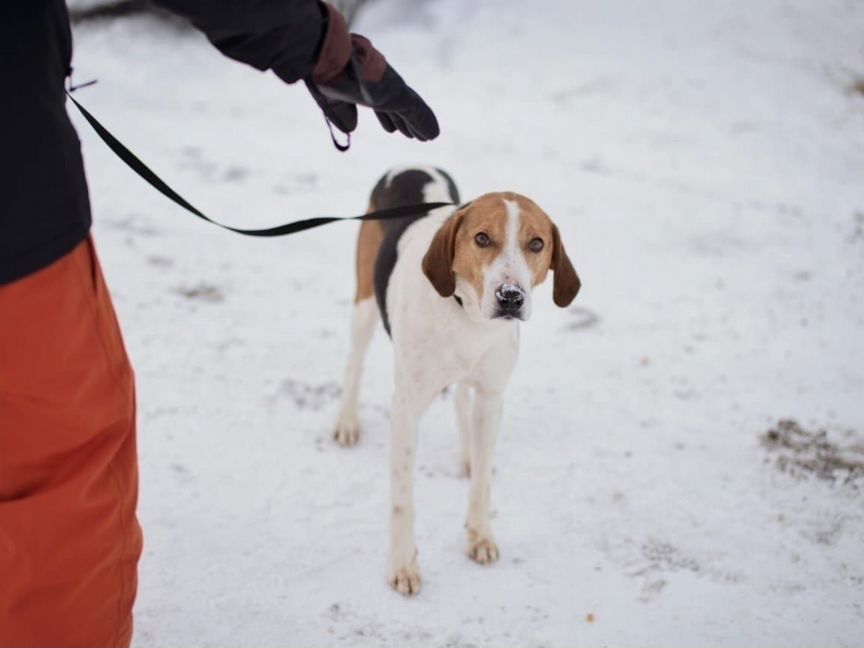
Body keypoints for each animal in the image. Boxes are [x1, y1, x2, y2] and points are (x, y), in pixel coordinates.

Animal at [330, 165, 580, 596]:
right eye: (481, 238)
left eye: (537, 243)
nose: (511, 297)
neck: (467, 316)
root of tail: (410, 167)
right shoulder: (406, 410)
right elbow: (403, 499)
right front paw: (402, 564)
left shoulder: (493, 396)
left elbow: (481, 481)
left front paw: (480, 534)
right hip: (364, 304)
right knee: (354, 362)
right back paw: (347, 421)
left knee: (463, 397)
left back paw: (466, 452)